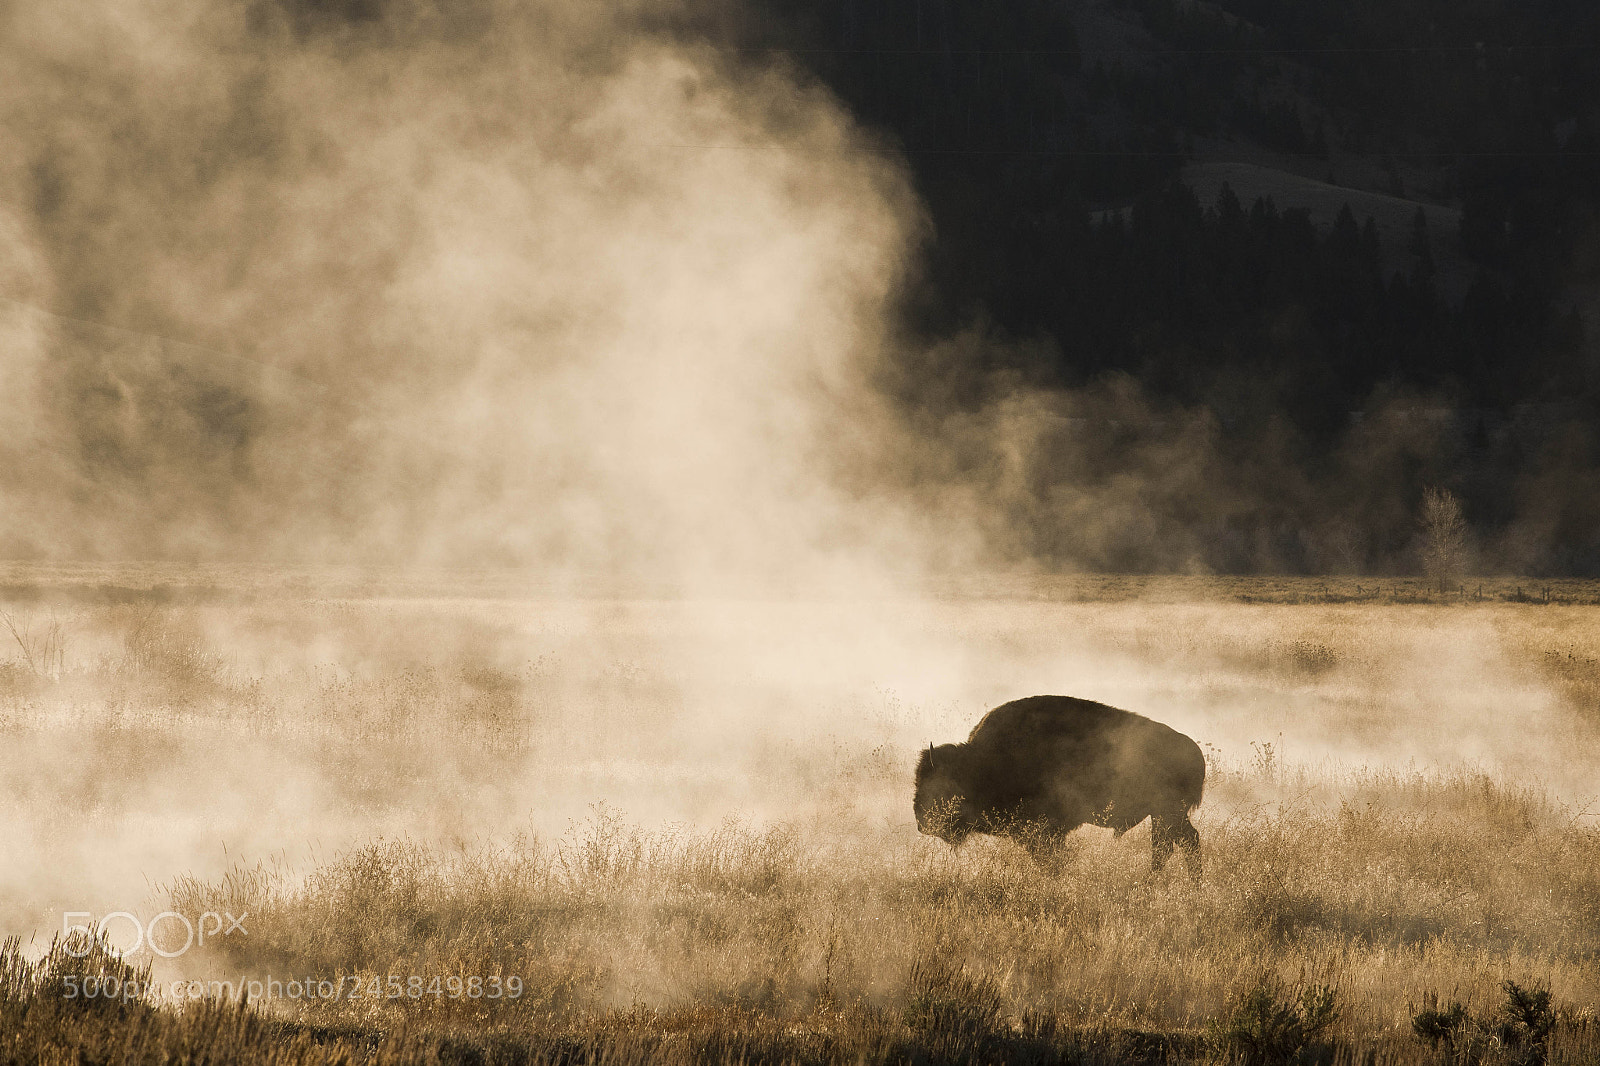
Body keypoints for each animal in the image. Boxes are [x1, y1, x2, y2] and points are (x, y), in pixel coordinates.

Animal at [913, 695, 1204, 876]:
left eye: (937, 787)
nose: (921, 822)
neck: (981, 764)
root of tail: (1195, 752)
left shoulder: (1044, 831)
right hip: (1164, 815)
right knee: (1176, 844)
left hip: (1168, 813)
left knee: (1177, 844)